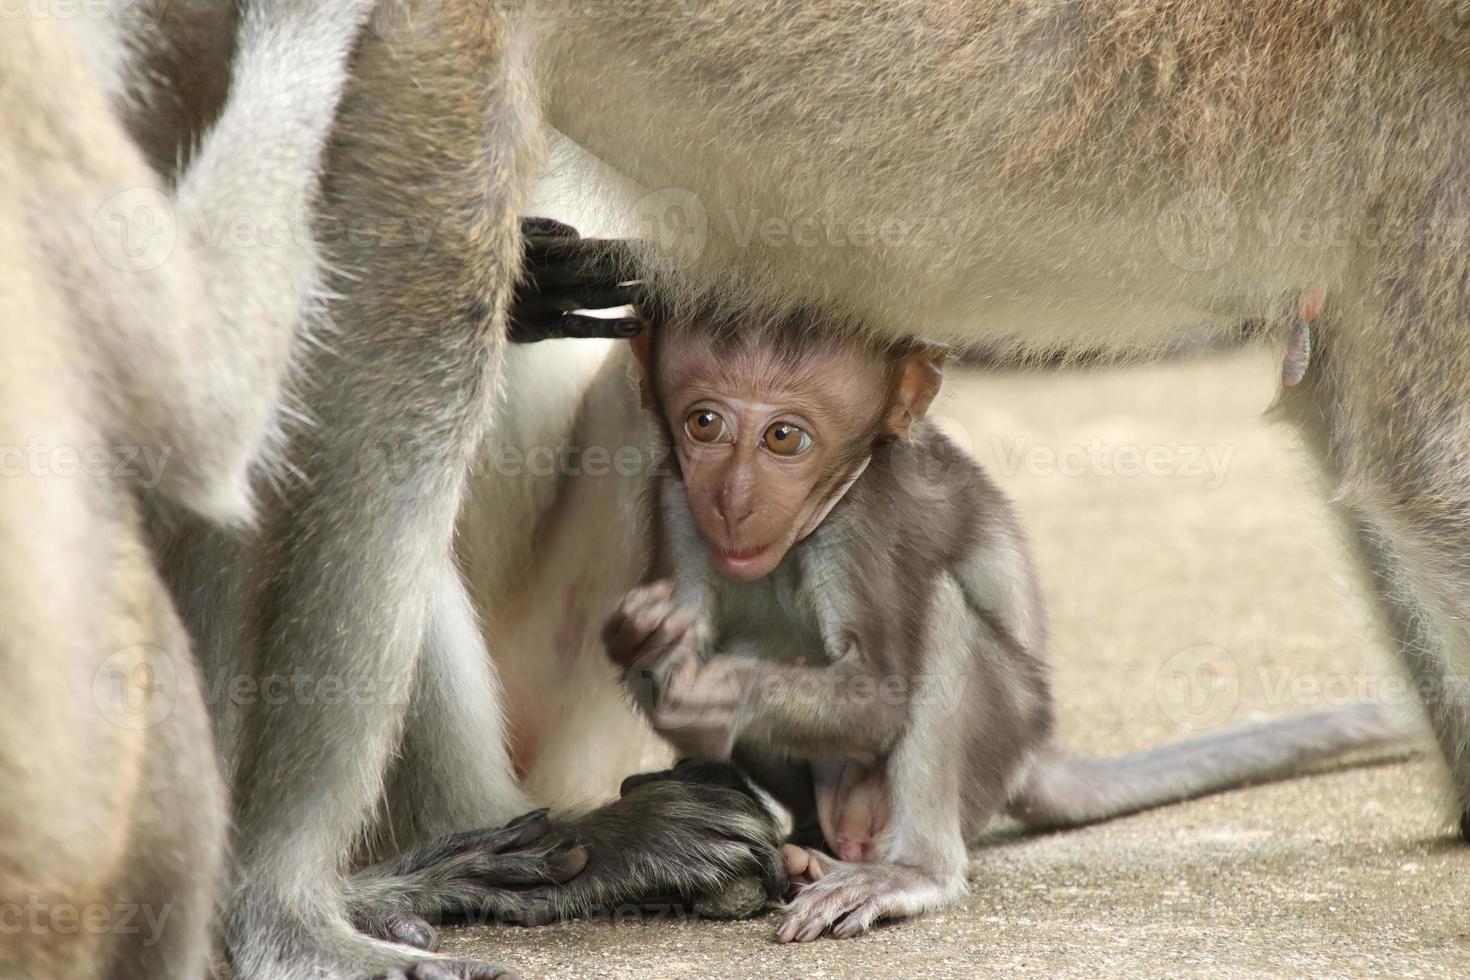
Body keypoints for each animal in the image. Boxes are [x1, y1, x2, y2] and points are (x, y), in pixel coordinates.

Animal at [605, 307, 1411, 940]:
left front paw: (711, 693)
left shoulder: (869, 518)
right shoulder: (675, 491)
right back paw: (799, 840)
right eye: (705, 423)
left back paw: (913, 871)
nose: (734, 501)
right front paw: (646, 653)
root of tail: (1036, 751)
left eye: (784, 438)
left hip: (997, 738)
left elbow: (881, 695)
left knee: (943, 620)